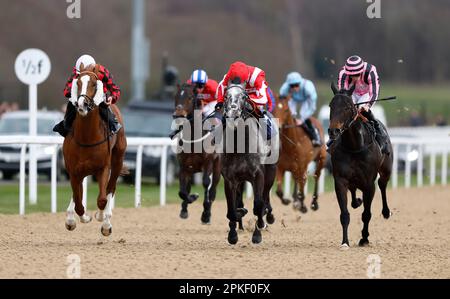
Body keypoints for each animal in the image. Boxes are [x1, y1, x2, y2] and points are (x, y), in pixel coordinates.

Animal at [61, 63, 126, 237]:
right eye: (77, 83)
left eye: (94, 84)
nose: (82, 104)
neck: (87, 138)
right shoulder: (73, 171)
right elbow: (78, 201)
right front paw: (78, 219)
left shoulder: (103, 168)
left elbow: (102, 199)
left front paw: (101, 218)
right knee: (77, 193)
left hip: (117, 160)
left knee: (111, 188)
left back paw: (106, 220)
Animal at [172, 83, 221, 224]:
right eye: (175, 96)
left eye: (189, 97)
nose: (178, 115)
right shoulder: (183, 167)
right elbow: (182, 191)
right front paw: (191, 199)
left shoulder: (208, 162)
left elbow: (206, 183)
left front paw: (205, 213)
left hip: (217, 167)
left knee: (213, 190)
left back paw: (207, 213)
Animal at [219, 81, 278, 245]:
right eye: (225, 96)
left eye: (244, 96)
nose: (233, 114)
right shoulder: (230, 179)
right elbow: (231, 209)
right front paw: (233, 235)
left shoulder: (258, 175)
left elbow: (258, 205)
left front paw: (257, 234)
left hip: (270, 173)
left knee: (265, 197)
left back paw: (267, 218)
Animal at [328, 83, 392, 250]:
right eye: (331, 105)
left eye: (347, 107)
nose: (333, 131)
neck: (354, 146)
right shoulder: (340, 181)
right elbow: (344, 214)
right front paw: (345, 242)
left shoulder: (369, 184)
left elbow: (366, 214)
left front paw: (364, 238)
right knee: (354, 191)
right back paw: (357, 201)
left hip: (386, 170)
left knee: (382, 184)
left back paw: (386, 212)